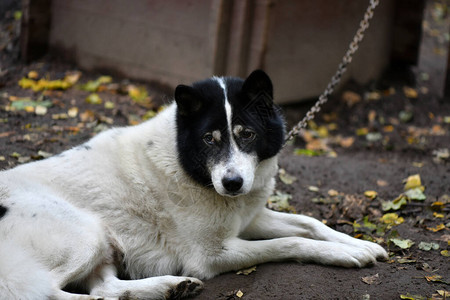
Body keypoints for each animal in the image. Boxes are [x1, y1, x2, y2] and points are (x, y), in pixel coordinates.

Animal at [0, 69, 386, 298]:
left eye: (247, 134)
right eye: (209, 139)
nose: (232, 183)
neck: (186, 164)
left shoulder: (250, 217)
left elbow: (309, 222)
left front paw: (360, 244)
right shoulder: (211, 256)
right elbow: (289, 242)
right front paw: (344, 254)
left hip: (106, 244)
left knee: (106, 290)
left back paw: (173, 287)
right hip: (85, 235)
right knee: (49, 294)